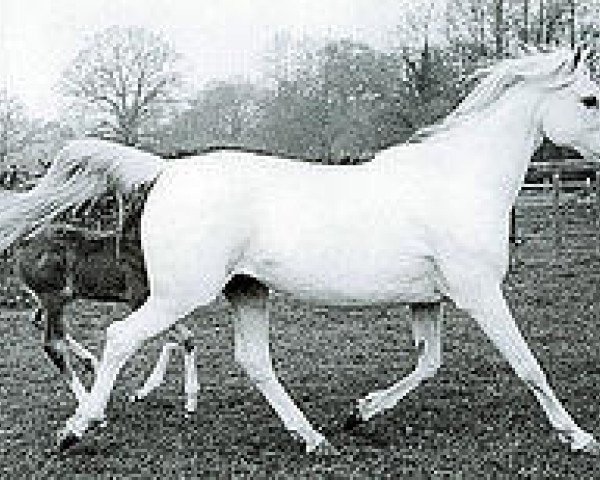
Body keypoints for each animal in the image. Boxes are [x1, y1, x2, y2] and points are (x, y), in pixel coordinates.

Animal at [13, 188, 199, 412]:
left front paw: (173, 397)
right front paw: (187, 397)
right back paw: (89, 404)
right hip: (53, 298)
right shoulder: (140, 300)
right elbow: (182, 336)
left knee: (39, 321)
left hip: (55, 299)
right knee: (52, 344)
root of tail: (25, 243)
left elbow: (185, 338)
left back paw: (92, 363)